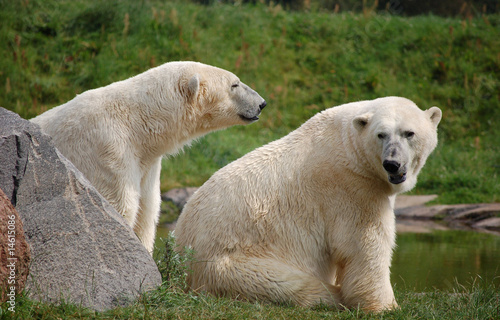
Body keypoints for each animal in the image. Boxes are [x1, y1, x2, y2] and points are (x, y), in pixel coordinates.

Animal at [30, 61, 266, 254]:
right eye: (234, 84)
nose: (262, 103)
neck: (136, 122)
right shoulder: (107, 151)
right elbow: (119, 207)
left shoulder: (147, 163)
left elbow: (146, 212)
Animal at [175, 97, 442, 312]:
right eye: (381, 134)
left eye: (409, 133)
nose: (392, 164)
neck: (348, 145)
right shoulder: (350, 188)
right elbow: (364, 245)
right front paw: (385, 307)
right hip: (232, 262)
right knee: (288, 283)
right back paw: (332, 297)